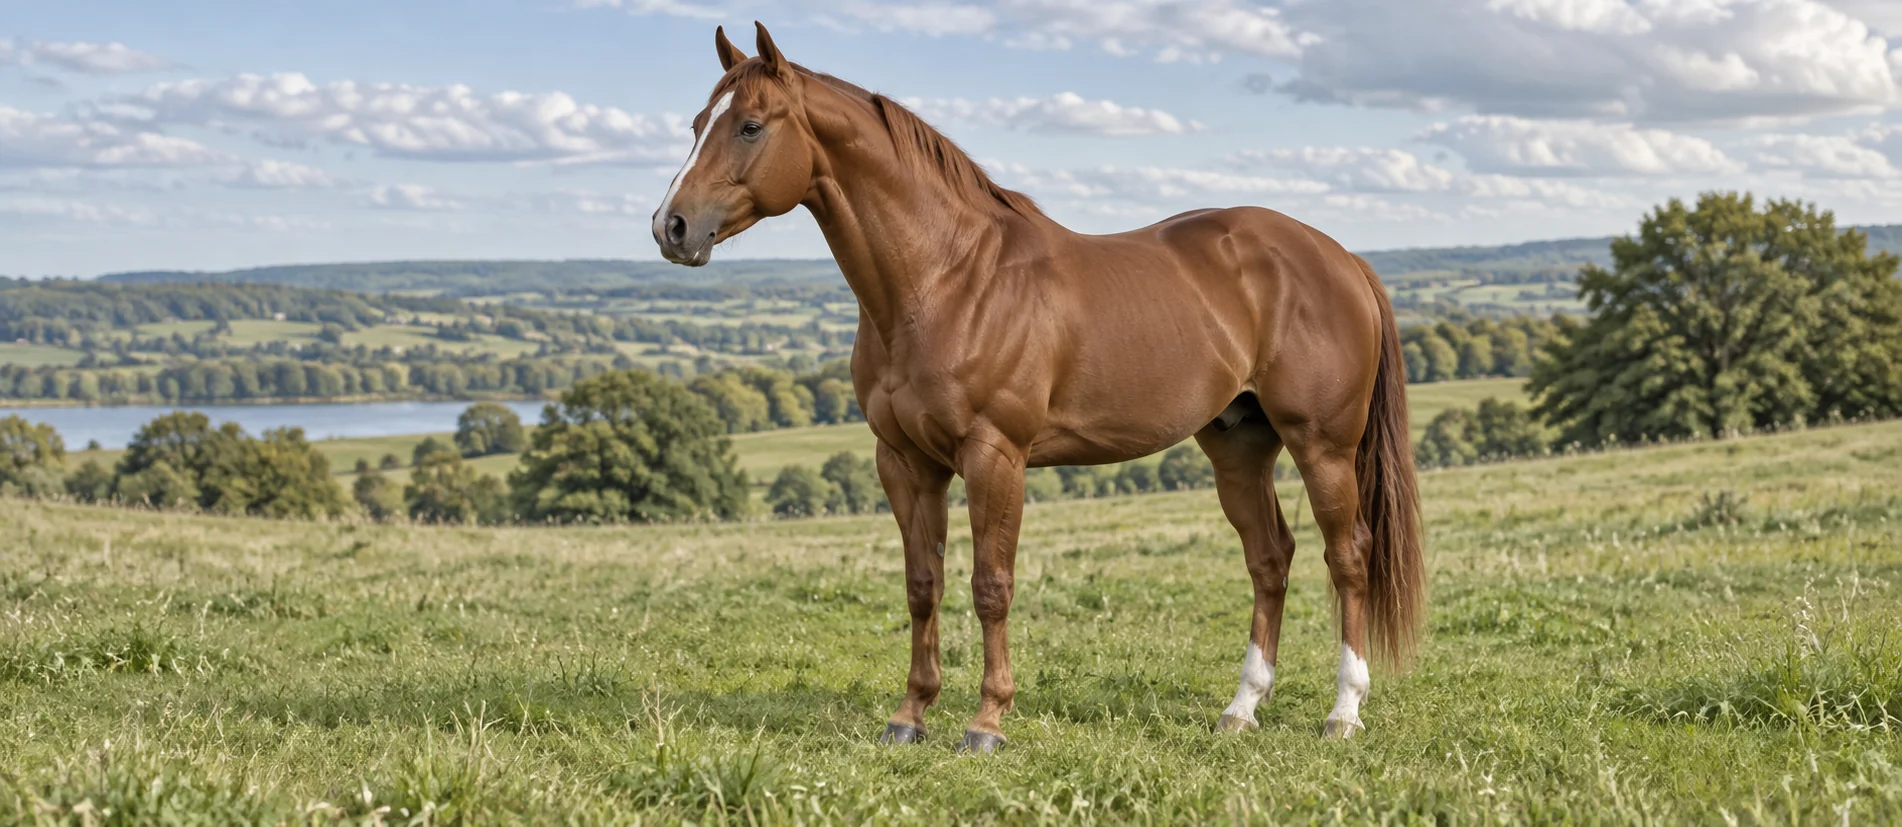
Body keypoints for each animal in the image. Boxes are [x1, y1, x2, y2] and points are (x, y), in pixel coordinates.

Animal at [653, 23, 1425, 754]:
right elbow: (922, 586)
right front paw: (910, 715)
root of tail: (1340, 257)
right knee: (1270, 558)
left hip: (1322, 446)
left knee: (1347, 556)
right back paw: (1240, 710)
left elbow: (991, 586)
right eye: (695, 123)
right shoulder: (904, 461)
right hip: (1239, 446)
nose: (672, 227)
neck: (945, 280)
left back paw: (1344, 712)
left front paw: (987, 723)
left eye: (750, 125)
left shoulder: (995, 456)